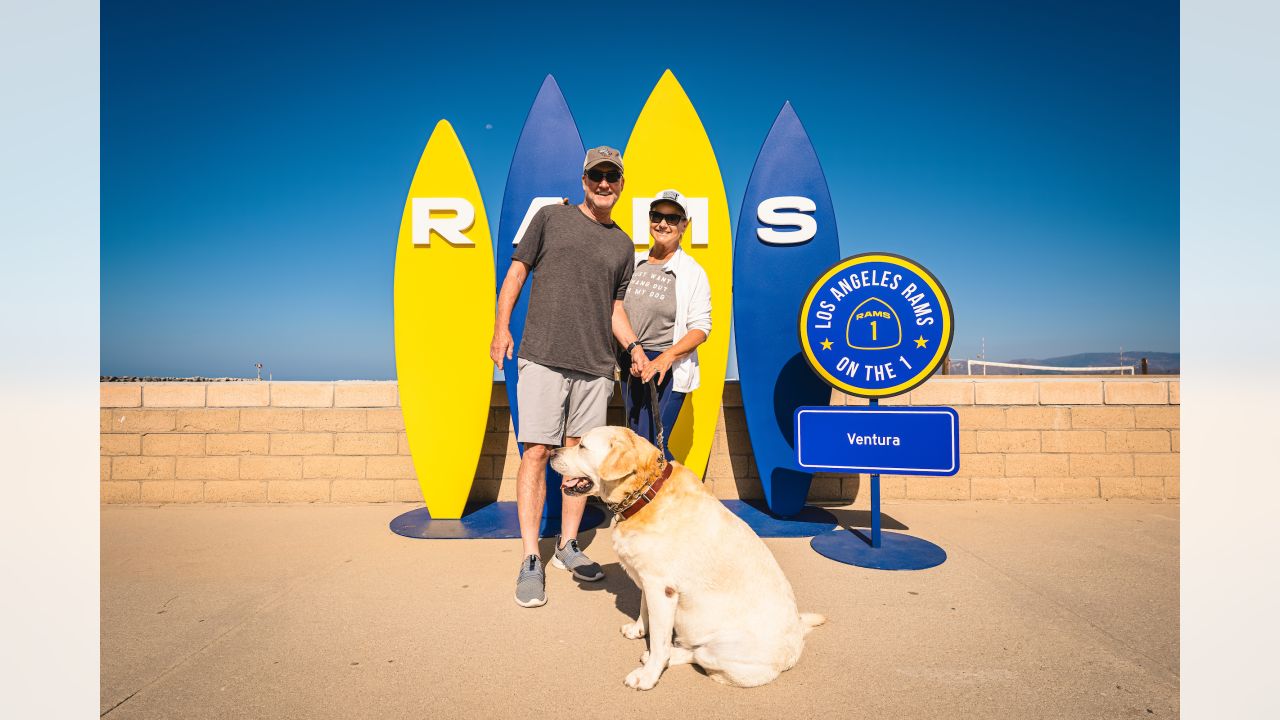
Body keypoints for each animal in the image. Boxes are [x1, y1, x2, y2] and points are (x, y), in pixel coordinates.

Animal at [547, 422, 824, 686]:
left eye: (582, 446)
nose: (551, 452)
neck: (644, 494)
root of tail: (795, 647)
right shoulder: (648, 581)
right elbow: (644, 611)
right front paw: (638, 630)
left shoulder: (663, 589)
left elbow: (659, 641)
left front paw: (648, 676)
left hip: (720, 649)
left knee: (697, 654)